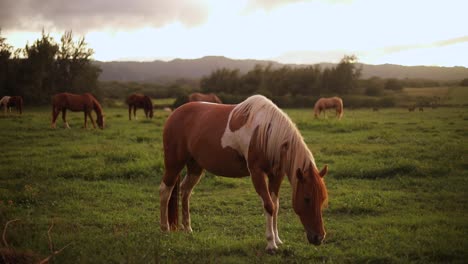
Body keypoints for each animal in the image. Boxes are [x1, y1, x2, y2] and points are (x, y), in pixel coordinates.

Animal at [161, 94, 330, 252]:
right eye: (307, 198)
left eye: (322, 199)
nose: (319, 237)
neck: (266, 133)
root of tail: (175, 114)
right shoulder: (257, 173)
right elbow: (269, 205)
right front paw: (271, 244)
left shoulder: (276, 175)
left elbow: (275, 205)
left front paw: (277, 239)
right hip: (173, 164)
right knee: (165, 190)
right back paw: (165, 229)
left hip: (195, 167)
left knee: (185, 190)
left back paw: (187, 228)